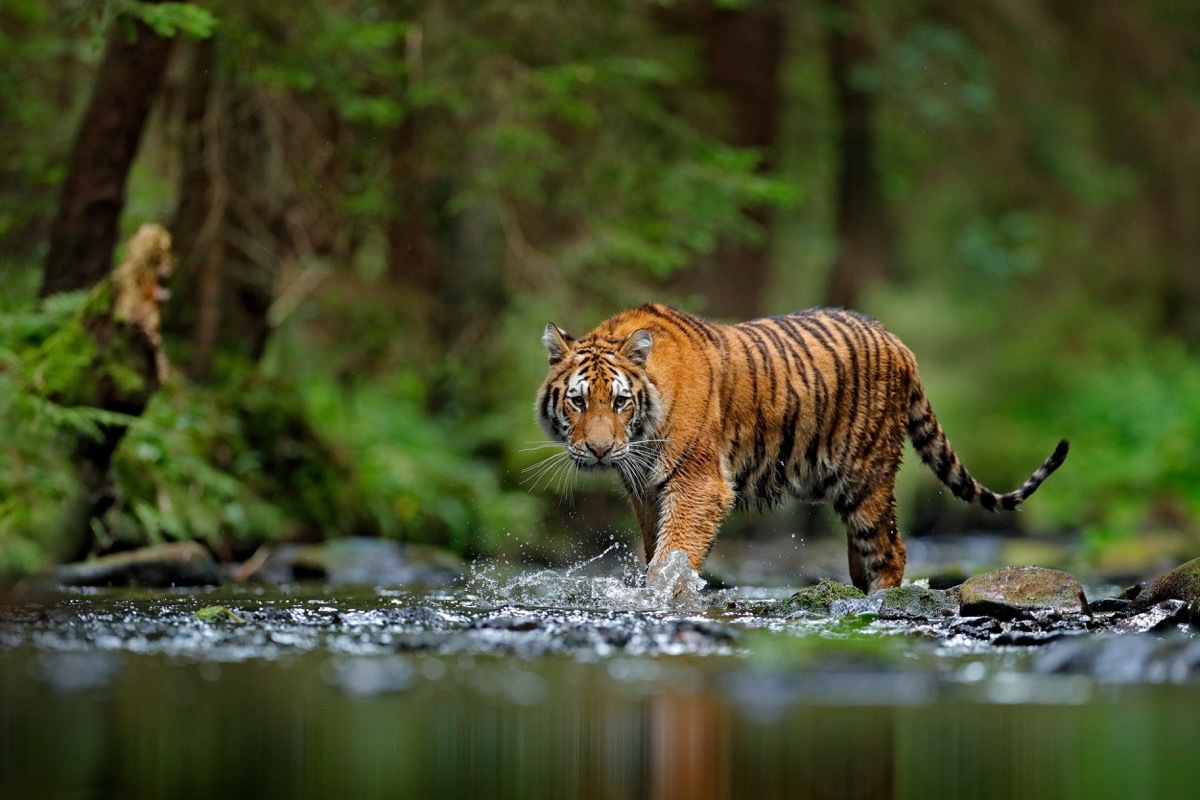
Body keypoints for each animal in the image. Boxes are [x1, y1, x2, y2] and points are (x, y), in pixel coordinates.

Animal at [535, 304, 1070, 594]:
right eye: (578, 401)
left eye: (620, 401)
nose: (600, 451)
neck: (642, 433)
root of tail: (899, 343)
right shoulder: (646, 492)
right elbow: (656, 552)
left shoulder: (698, 485)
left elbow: (673, 556)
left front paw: (664, 596)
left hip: (867, 477)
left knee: (891, 550)